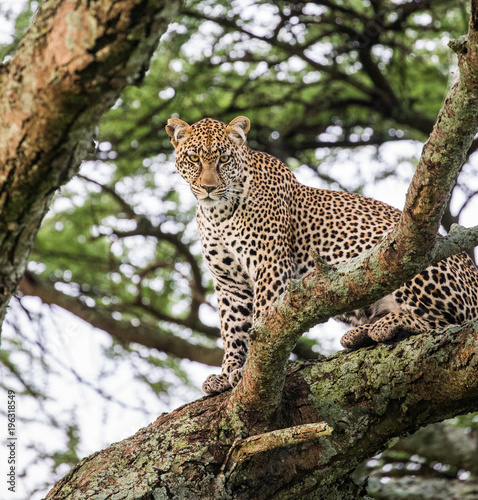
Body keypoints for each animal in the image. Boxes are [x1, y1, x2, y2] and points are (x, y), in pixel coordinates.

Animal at [166, 116, 478, 394]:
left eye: (223, 159)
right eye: (194, 158)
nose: (208, 188)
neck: (217, 213)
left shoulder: (271, 265)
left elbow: (261, 320)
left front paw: (249, 370)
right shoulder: (230, 282)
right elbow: (232, 329)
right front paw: (227, 373)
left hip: (411, 257)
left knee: (448, 323)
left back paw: (387, 325)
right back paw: (360, 334)